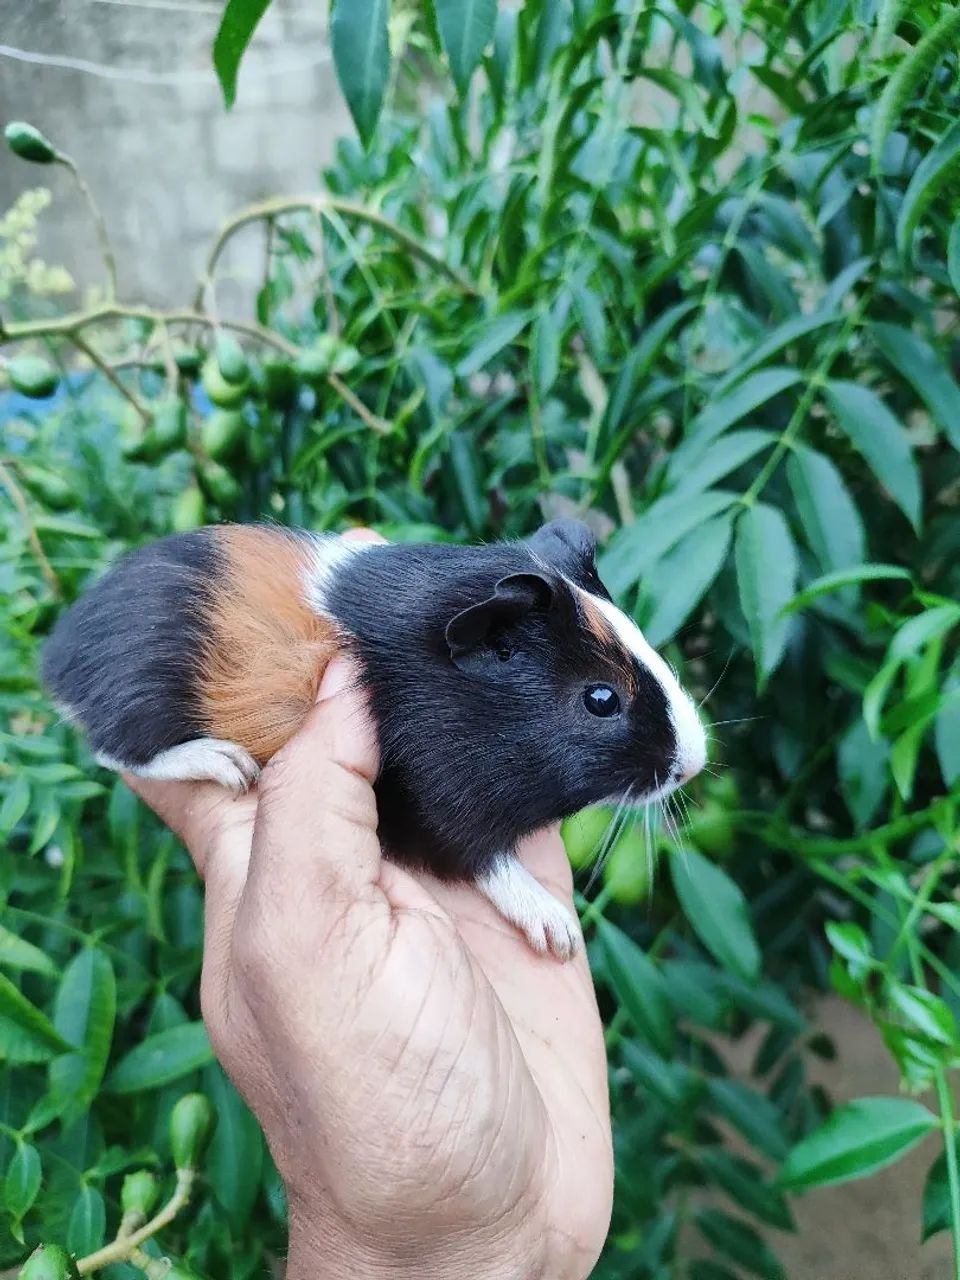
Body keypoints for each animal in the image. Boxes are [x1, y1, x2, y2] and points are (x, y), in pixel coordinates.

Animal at [42, 519, 706, 960]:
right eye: (601, 698)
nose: (695, 763)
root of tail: (57, 661)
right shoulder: (438, 805)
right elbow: (486, 863)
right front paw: (558, 934)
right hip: (145, 707)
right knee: (117, 752)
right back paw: (226, 764)